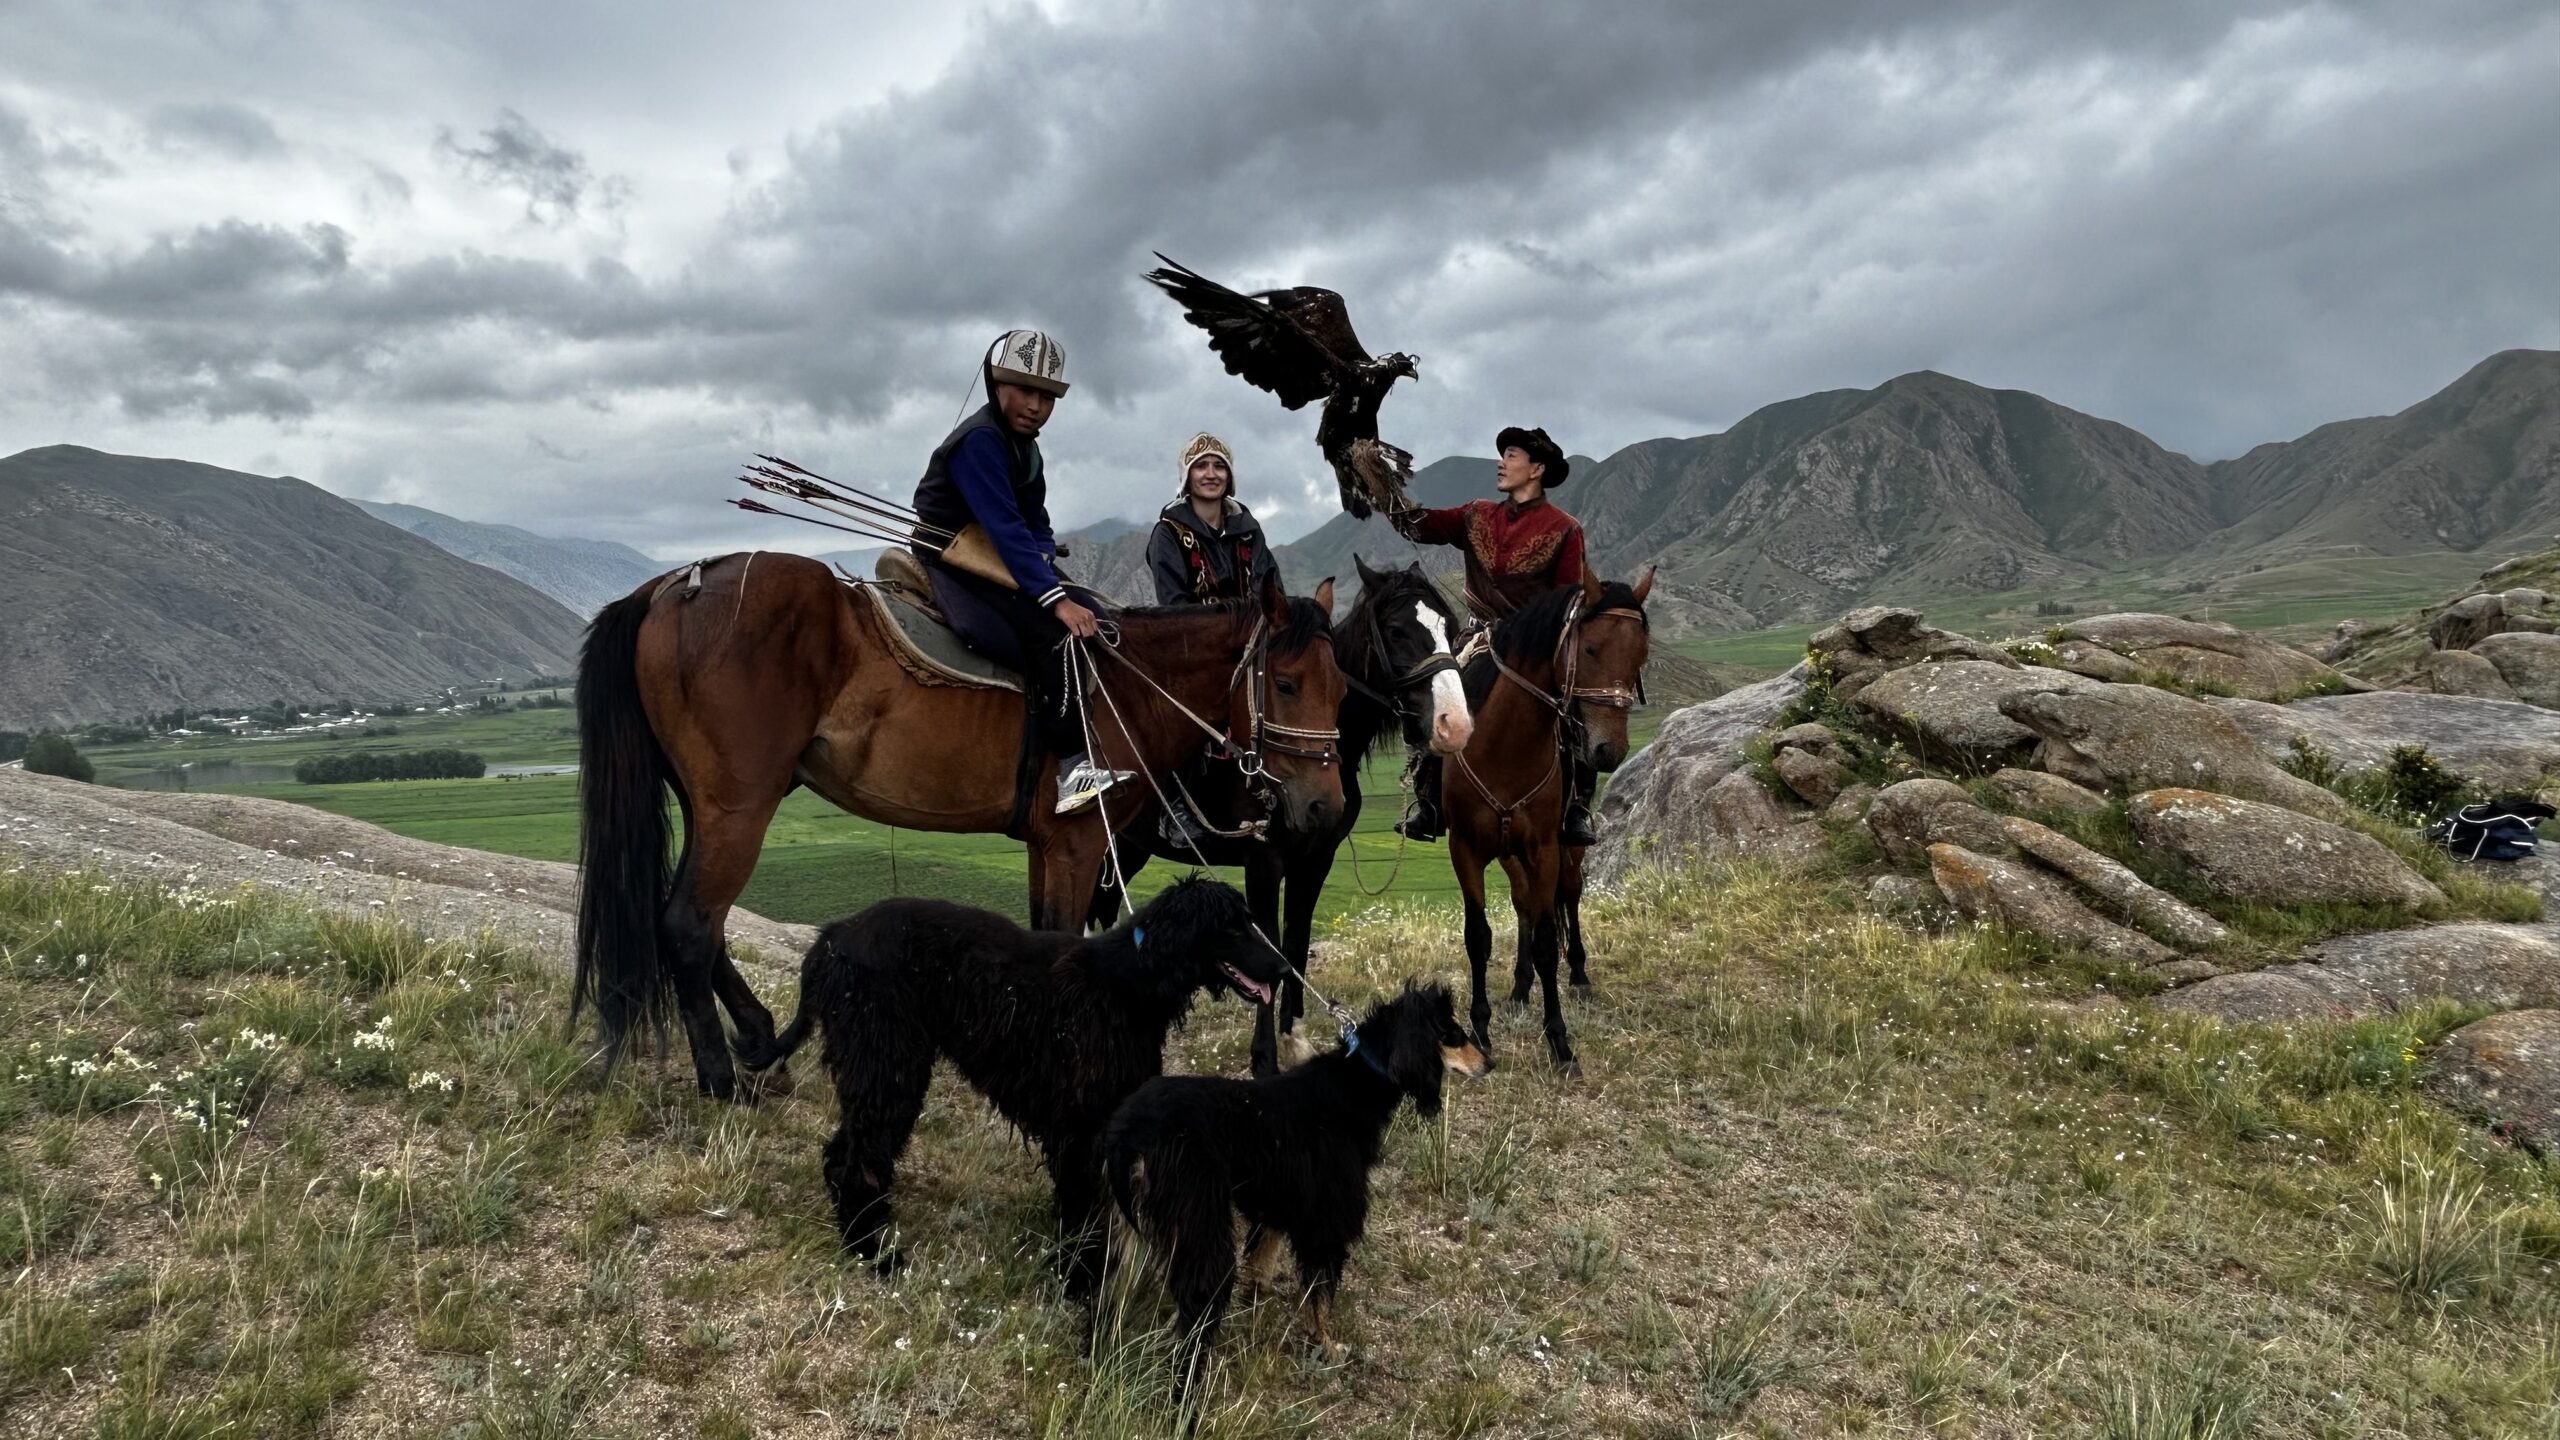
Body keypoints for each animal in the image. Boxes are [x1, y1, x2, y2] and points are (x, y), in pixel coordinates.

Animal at [573, 556, 1351, 1091]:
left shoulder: (1049, 847)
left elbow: (1043, 940)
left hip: (711, 805)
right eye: (1286, 684)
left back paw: (761, 1041)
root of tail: (670, 587)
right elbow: (1063, 943)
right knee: (688, 923)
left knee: (681, 916)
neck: (1127, 685)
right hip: (739, 806)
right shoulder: (1078, 845)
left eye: (1342, 686)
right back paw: (722, 1081)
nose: (1325, 806)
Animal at [742, 871, 1280, 1281]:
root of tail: (832, 937)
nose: (1283, 969)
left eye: (1250, 921)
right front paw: (1079, 1276)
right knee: (850, 1159)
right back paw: (871, 1251)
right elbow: (1083, 1206)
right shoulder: (1078, 1125)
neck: (1127, 979)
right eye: (1232, 928)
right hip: (887, 1064)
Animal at [1090, 556, 1474, 1071]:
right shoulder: (1263, 861)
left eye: (1448, 627)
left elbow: (1295, 942)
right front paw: (1264, 1059)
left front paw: (1295, 1036)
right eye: (1396, 631)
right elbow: (1269, 946)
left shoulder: (1315, 859)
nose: (1455, 726)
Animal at [1095, 978, 1484, 1373]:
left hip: (1126, 1229)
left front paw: (1257, 1298)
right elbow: (1320, 1292)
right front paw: (1325, 1343)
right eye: (1452, 1034)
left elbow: (1264, 1256)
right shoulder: (1328, 1215)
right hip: (1198, 1224)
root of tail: (1128, 1134)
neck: (1356, 1083)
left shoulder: (1282, 1197)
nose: (1490, 1062)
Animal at [1443, 566, 1658, 1071]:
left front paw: (1559, 1043)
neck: (1504, 747)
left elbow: (1546, 941)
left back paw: (1578, 976)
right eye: (1591, 648)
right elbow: (1478, 936)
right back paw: (1521, 989)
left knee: (1569, 897)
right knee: (1524, 904)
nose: (1608, 751)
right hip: (1509, 854)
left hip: (1568, 847)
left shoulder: (1543, 847)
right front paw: (1481, 1032)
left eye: (1641, 654)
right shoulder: (1466, 848)